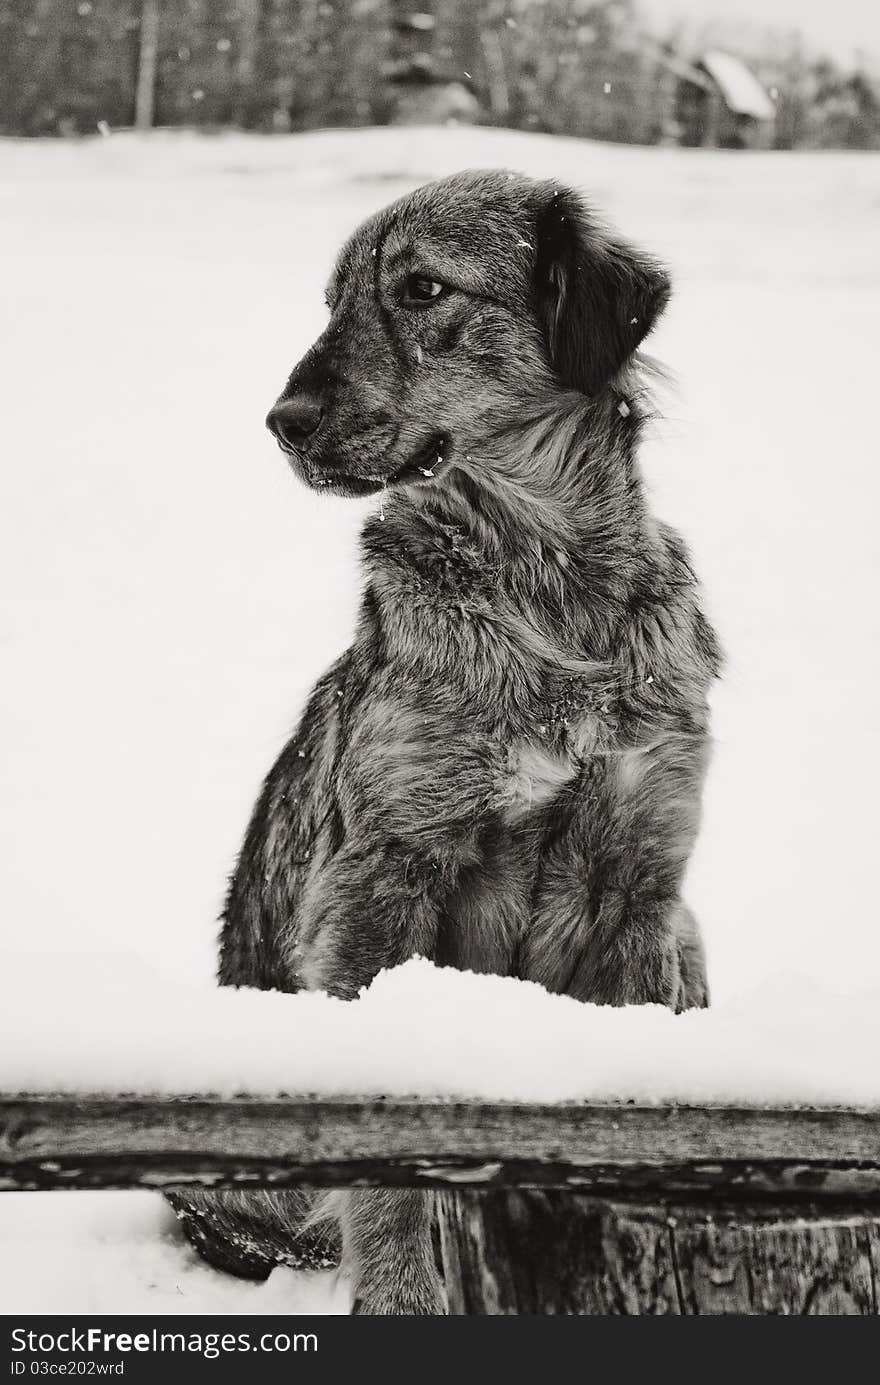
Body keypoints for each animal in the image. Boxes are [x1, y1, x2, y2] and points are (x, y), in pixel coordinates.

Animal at [166, 167, 720, 1312]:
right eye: (334, 300)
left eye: (423, 288)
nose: (282, 421)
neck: (546, 582)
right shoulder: (384, 876)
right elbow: (388, 1162)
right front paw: (403, 1296)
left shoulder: (643, 886)